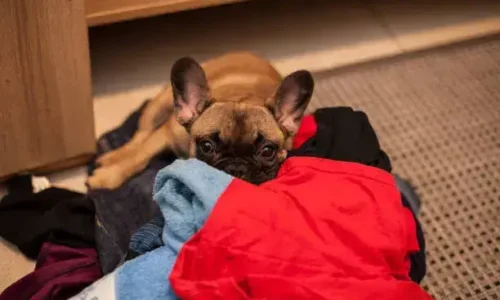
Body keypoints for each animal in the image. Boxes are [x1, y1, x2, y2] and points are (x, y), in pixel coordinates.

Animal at [86, 51, 312, 188]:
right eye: (207, 146)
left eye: (267, 151)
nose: (235, 169)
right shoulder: (167, 132)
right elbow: (139, 157)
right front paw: (107, 177)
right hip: (158, 106)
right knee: (139, 137)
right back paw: (112, 156)